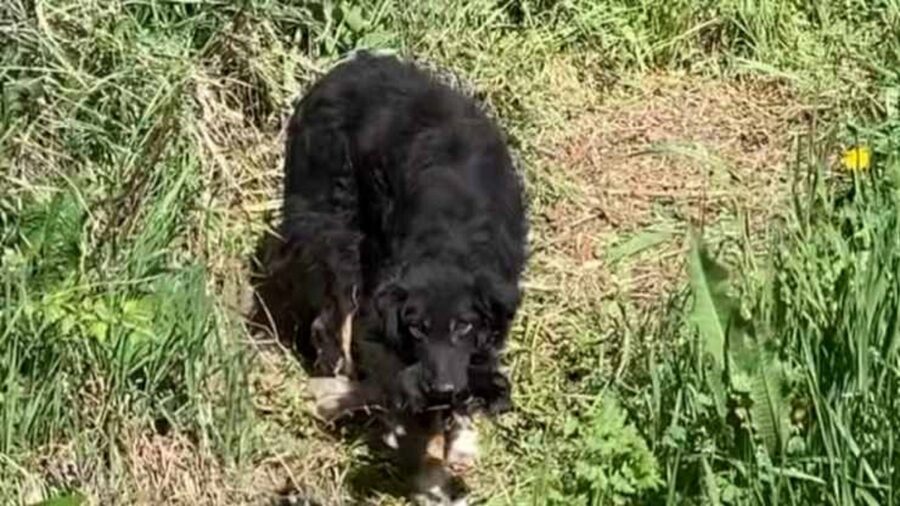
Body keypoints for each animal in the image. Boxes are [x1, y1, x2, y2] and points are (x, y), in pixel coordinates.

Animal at [282, 52, 528, 420]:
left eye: (463, 326)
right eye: (417, 328)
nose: (443, 390)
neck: (451, 236)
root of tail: (335, 73)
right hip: (335, 223)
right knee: (333, 316)